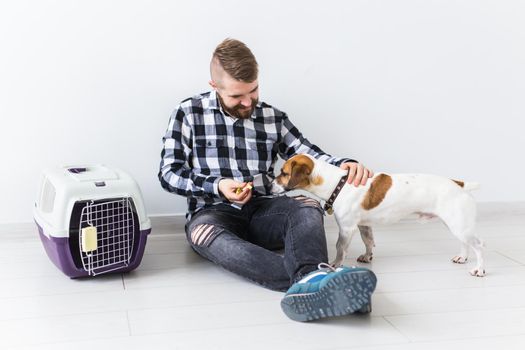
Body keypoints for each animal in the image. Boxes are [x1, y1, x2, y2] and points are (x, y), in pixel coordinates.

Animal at [272, 154, 486, 278]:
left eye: (283, 173)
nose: (269, 184)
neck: (338, 183)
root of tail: (458, 183)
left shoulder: (347, 228)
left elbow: (340, 248)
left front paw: (335, 265)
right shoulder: (363, 225)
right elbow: (368, 241)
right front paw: (368, 256)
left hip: (459, 225)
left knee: (479, 246)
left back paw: (479, 269)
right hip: (456, 225)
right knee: (465, 243)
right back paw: (462, 257)